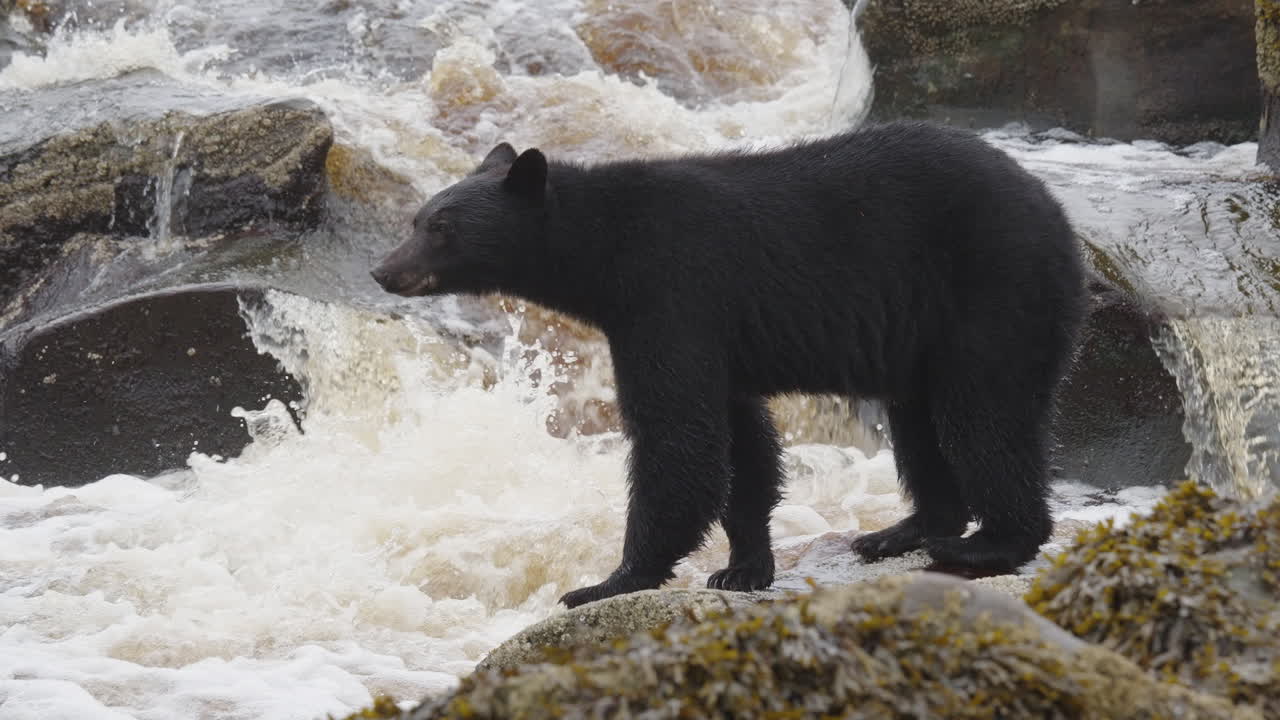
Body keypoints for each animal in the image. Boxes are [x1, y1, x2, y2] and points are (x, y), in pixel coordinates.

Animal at [371, 121, 1088, 610]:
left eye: (440, 227)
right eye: (418, 218)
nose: (384, 270)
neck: (605, 251)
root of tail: (1057, 215)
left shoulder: (671, 295)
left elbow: (677, 437)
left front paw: (608, 581)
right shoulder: (717, 336)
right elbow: (743, 444)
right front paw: (743, 566)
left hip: (990, 292)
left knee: (984, 416)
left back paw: (994, 542)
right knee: (920, 424)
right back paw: (898, 532)